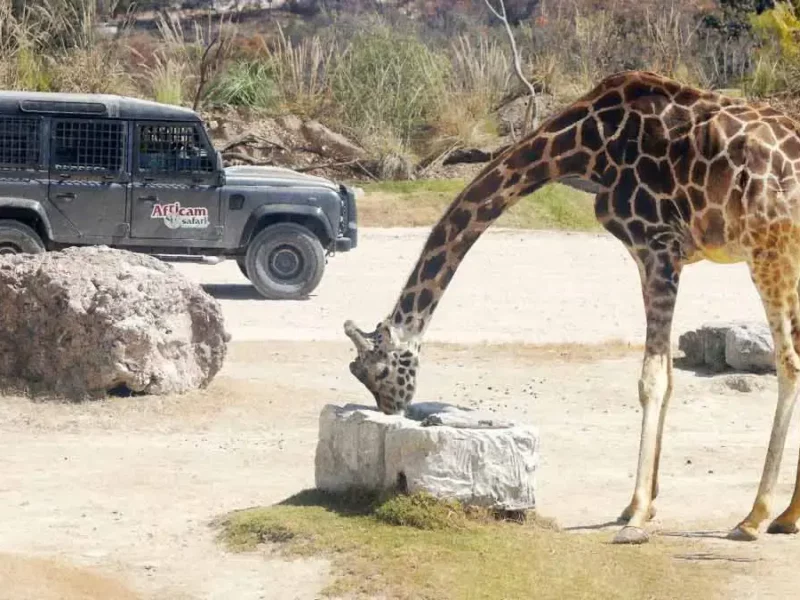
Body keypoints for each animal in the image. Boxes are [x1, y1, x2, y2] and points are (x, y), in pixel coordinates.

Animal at [344, 70, 800, 545]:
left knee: (789, 363)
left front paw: (636, 515)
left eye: (379, 370)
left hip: (768, 251)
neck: (583, 146)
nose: (391, 412)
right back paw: (787, 516)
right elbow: (670, 377)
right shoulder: (662, 254)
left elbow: (651, 380)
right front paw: (643, 505)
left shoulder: (656, 246)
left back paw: (754, 517)